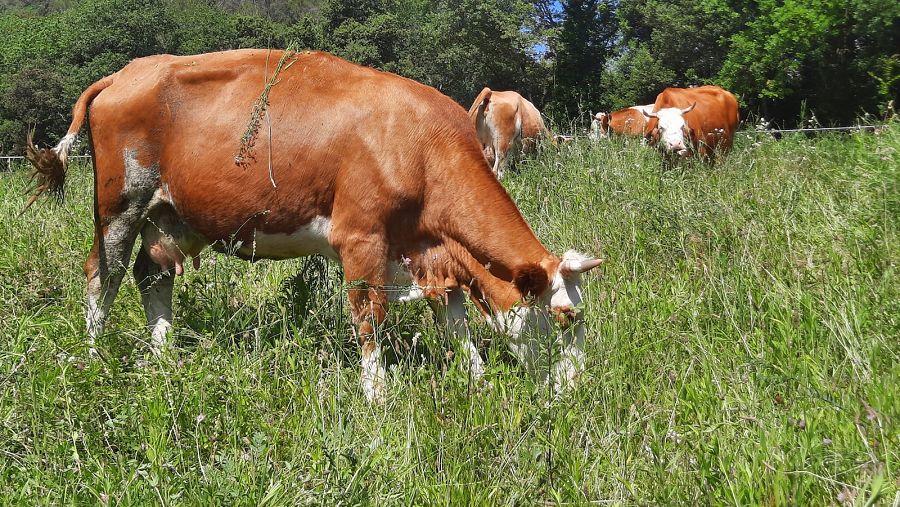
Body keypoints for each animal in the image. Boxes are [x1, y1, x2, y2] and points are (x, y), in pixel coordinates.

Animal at [24, 49, 600, 402]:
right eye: (566, 318)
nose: (576, 390)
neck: (419, 143)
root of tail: (129, 72)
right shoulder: (361, 240)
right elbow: (369, 318)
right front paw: (377, 395)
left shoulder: (431, 249)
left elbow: (453, 319)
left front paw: (477, 378)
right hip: (120, 204)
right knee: (103, 275)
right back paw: (96, 357)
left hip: (170, 216)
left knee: (153, 275)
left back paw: (165, 356)